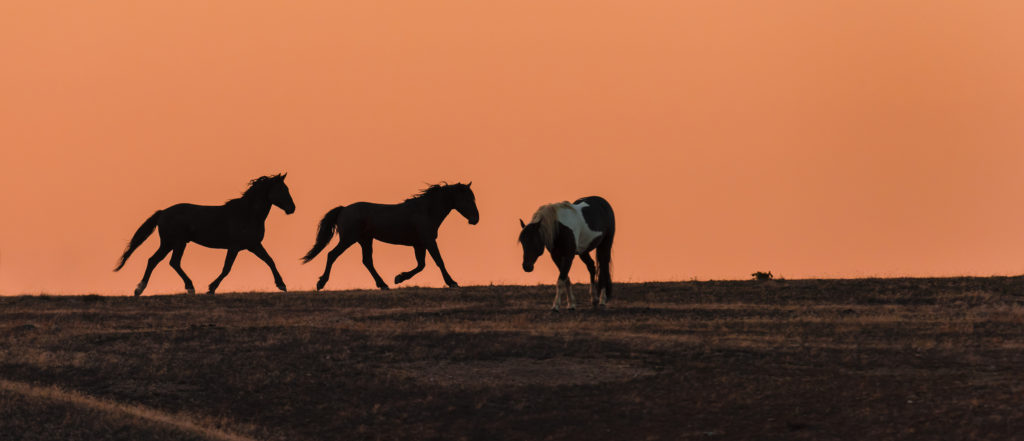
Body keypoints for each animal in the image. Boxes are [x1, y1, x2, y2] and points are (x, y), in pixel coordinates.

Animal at [115, 173, 296, 296]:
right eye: (282, 189)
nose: (292, 208)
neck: (247, 213)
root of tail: (163, 212)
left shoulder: (253, 245)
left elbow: (270, 261)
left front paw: (282, 285)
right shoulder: (235, 247)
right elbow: (227, 268)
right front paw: (211, 288)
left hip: (171, 243)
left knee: (157, 261)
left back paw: (140, 289)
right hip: (176, 242)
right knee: (170, 262)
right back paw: (188, 287)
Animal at [301, 181, 477, 292]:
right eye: (467, 199)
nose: (475, 219)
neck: (425, 211)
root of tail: (343, 209)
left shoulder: (419, 244)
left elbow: (421, 265)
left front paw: (399, 278)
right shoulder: (428, 241)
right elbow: (439, 261)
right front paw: (452, 282)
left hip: (365, 240)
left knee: (367, 261)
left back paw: (383, 284)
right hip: (348, 239)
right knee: (332, 255)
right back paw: (321, 283)